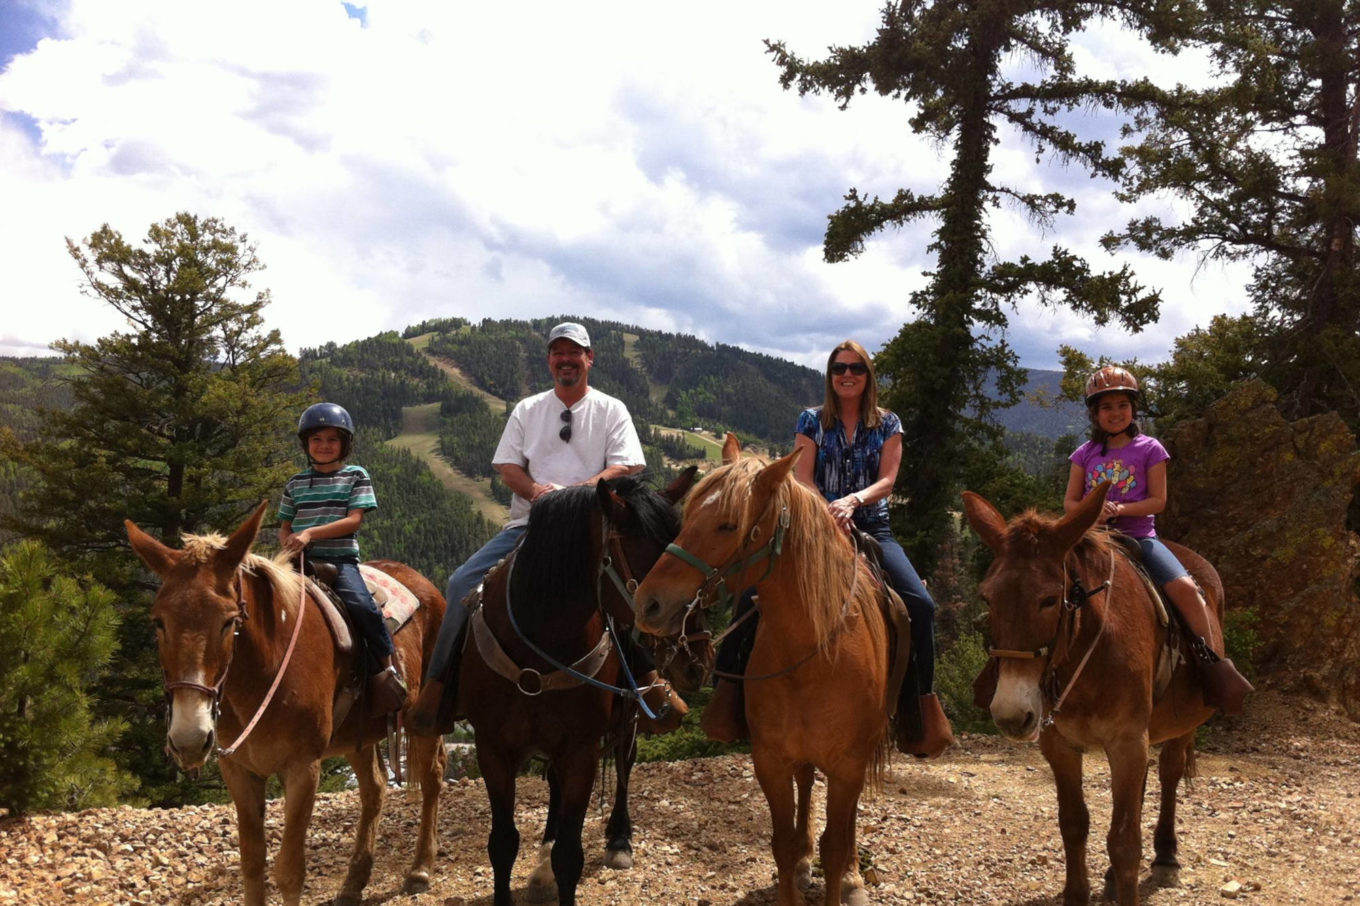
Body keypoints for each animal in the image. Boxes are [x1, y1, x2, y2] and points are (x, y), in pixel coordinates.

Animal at [124, 500, 443, 903]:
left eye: (229, 621)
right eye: (158, 622)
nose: (190, 739)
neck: (263, 676)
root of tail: (425, 585)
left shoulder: (302, 769)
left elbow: (290, 872)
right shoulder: (240, 771)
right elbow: (252, 863)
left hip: (423, 717)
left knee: (432, 779)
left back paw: (420, 870)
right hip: (357, 734)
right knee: (374, 789)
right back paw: (354, 882)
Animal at [467, 465, 701, 903]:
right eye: (654, 563)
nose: (693, 651)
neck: (541, 646)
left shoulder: (582, 750)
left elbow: (569, 856)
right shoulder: (492, 747)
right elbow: (503, 843)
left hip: (628, 717)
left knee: (624, 766)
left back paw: (619, 839)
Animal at [633, 435, 892, 897]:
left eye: (727, 525)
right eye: (688, 515)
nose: (648, 603)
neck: (811, 656)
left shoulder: (848, 765)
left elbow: (835, 846)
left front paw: (842, 875)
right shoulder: (769, 760)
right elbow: (783, 845)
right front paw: (799, 864)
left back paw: (852, 878)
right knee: (806, 782)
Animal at [968, 484, 1224, 903]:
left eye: (1049, 600)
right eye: (988, 598)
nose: (1011, 714)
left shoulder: (1127, 742)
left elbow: (1125, 843)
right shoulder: (1060, 746)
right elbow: (1074, 824)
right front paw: (1078, 891)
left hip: (1183, 724)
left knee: (1169, 773)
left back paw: (1167, 856)